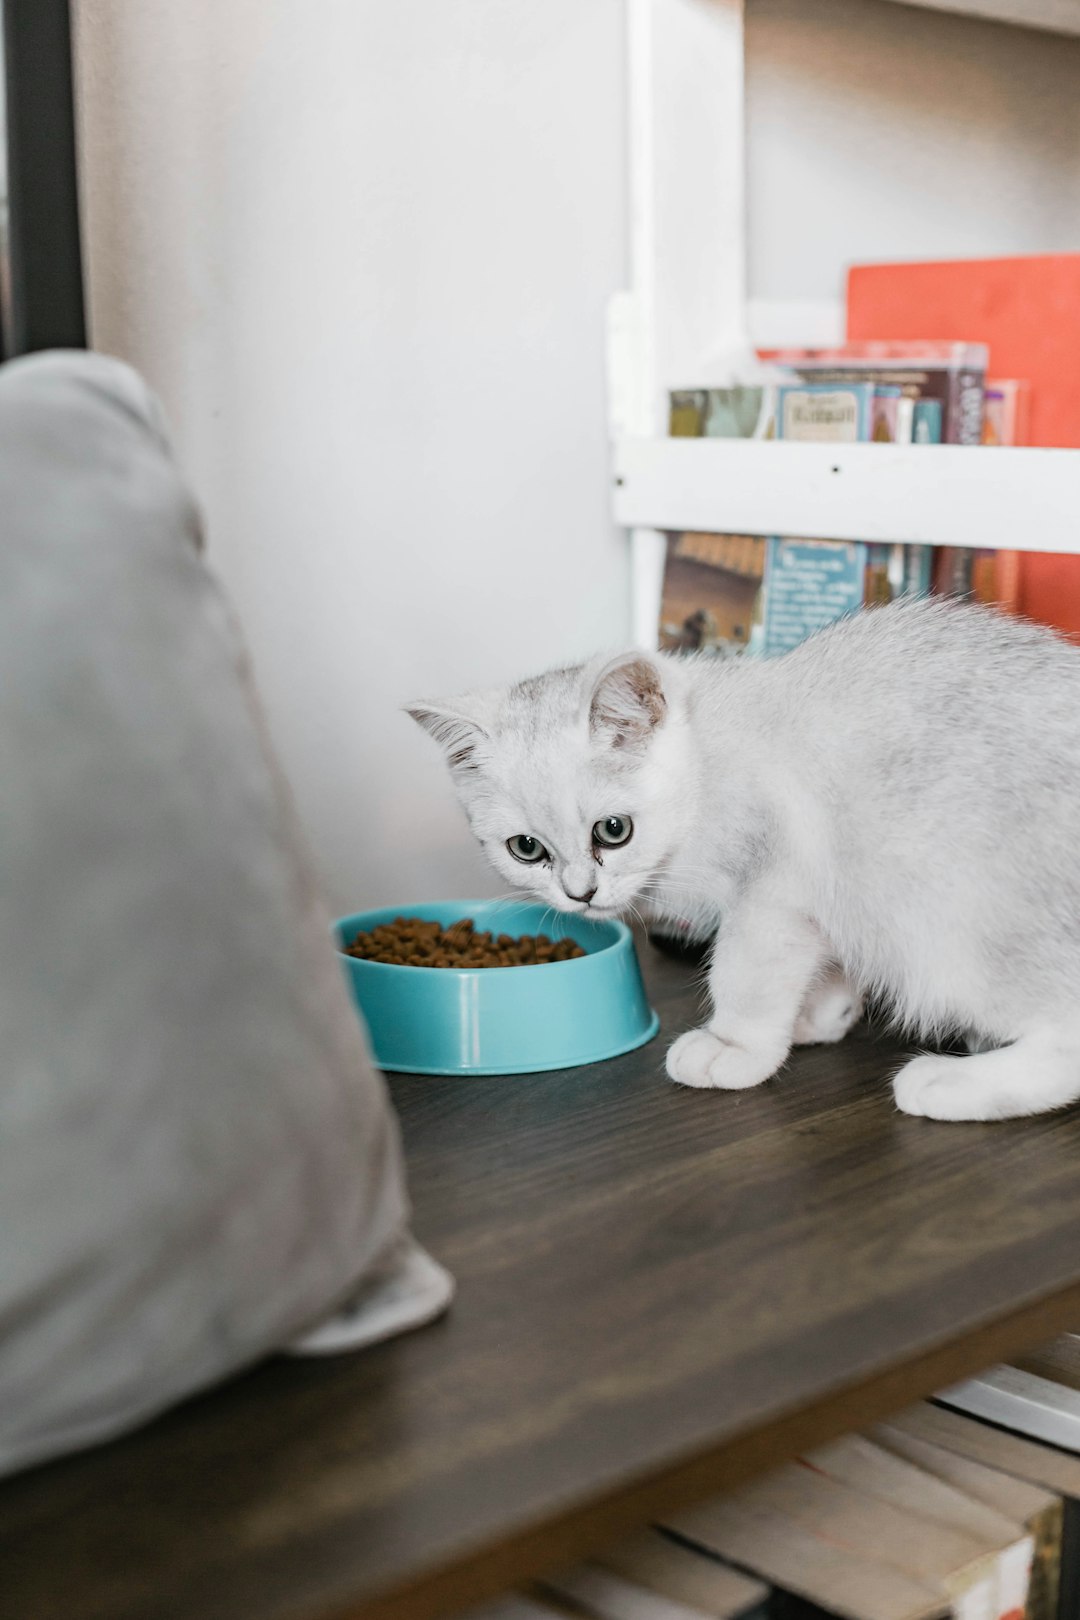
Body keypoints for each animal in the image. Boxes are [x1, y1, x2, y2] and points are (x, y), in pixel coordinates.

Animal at [409, 602, 1080, 1121]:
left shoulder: (776, 887)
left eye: (613, 831)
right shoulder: (824, 898)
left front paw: (735, 1045)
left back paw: (946, 1080)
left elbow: (743, 971)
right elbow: (826, 958)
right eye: (527, 849)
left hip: (947, 924)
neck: (706, 766)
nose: (580, 893)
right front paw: (820, 1014)